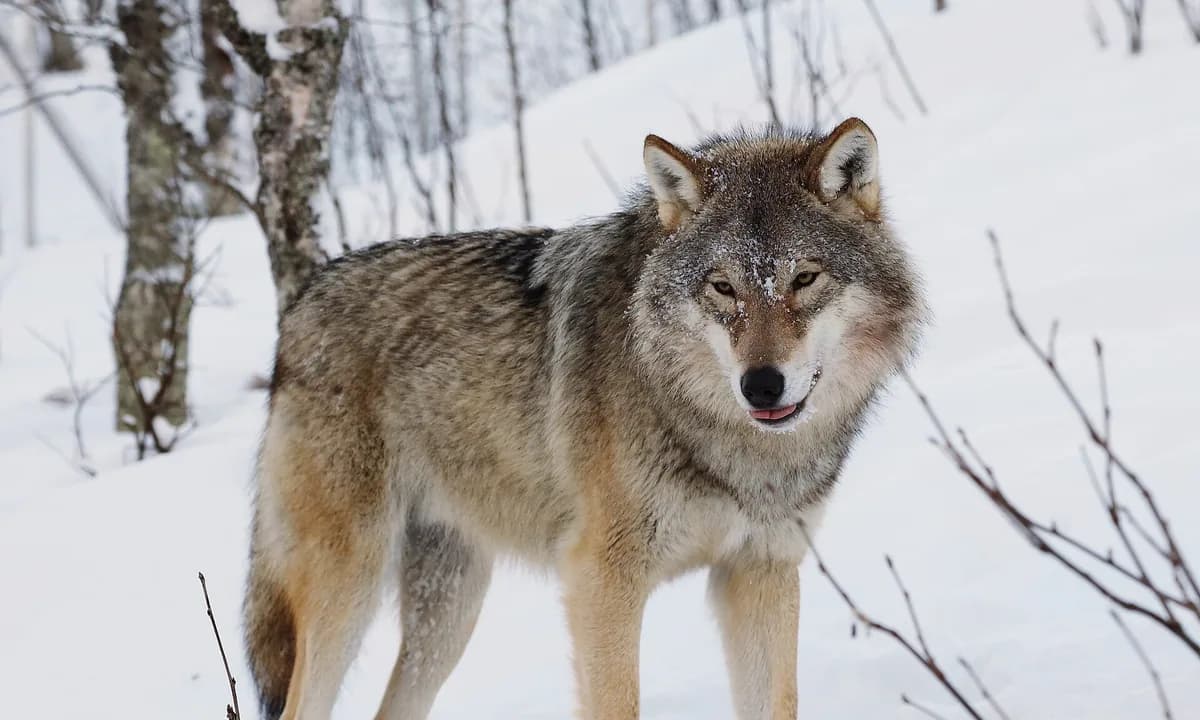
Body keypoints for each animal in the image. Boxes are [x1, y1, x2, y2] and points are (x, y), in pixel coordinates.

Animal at [244, 117, 925, 720]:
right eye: (723, 288)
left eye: (805, 278)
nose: (761, 387)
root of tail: (299, 306)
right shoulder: (601, 580)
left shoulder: (760, 570)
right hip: (351, 585)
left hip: (449, 610)